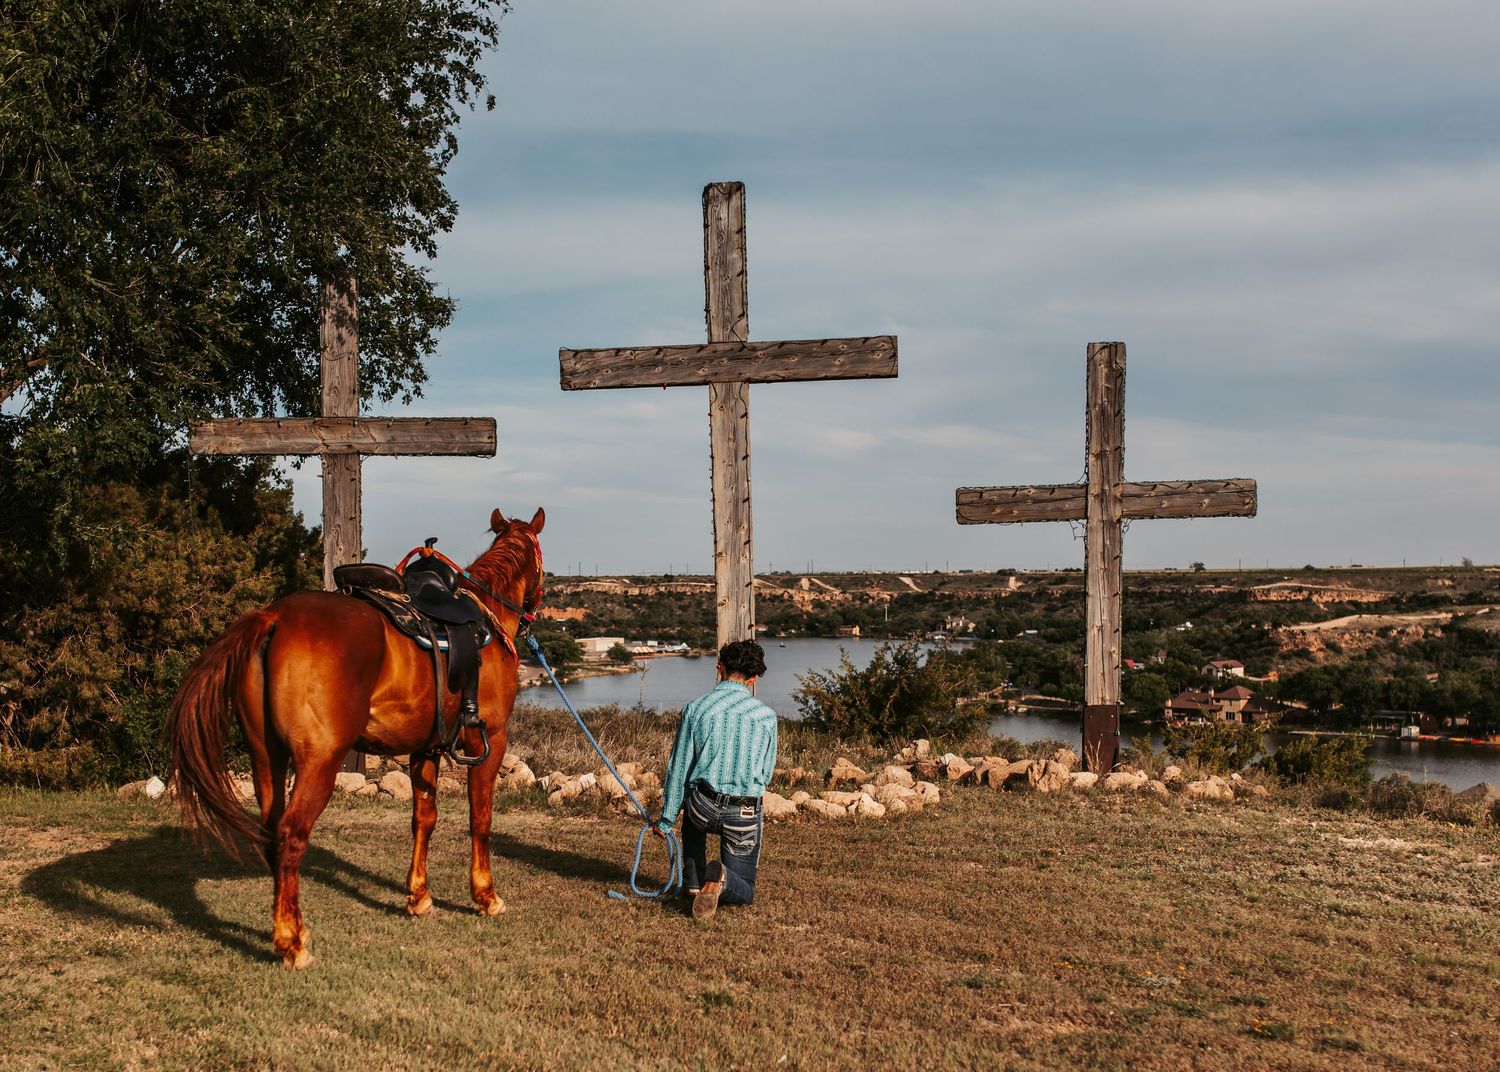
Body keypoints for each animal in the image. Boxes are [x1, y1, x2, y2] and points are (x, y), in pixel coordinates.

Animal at [168, 506, 545, 969]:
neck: (484, 618)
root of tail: (273, 618)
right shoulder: (488, 740)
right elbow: (481, 818)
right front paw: (485, 895)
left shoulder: (424, 748)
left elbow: (424, 818)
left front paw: (418, 896)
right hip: (320, 762)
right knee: (291, 835)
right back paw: (292, 944)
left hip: (265, 758)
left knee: (273, 831)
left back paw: (288, 929)